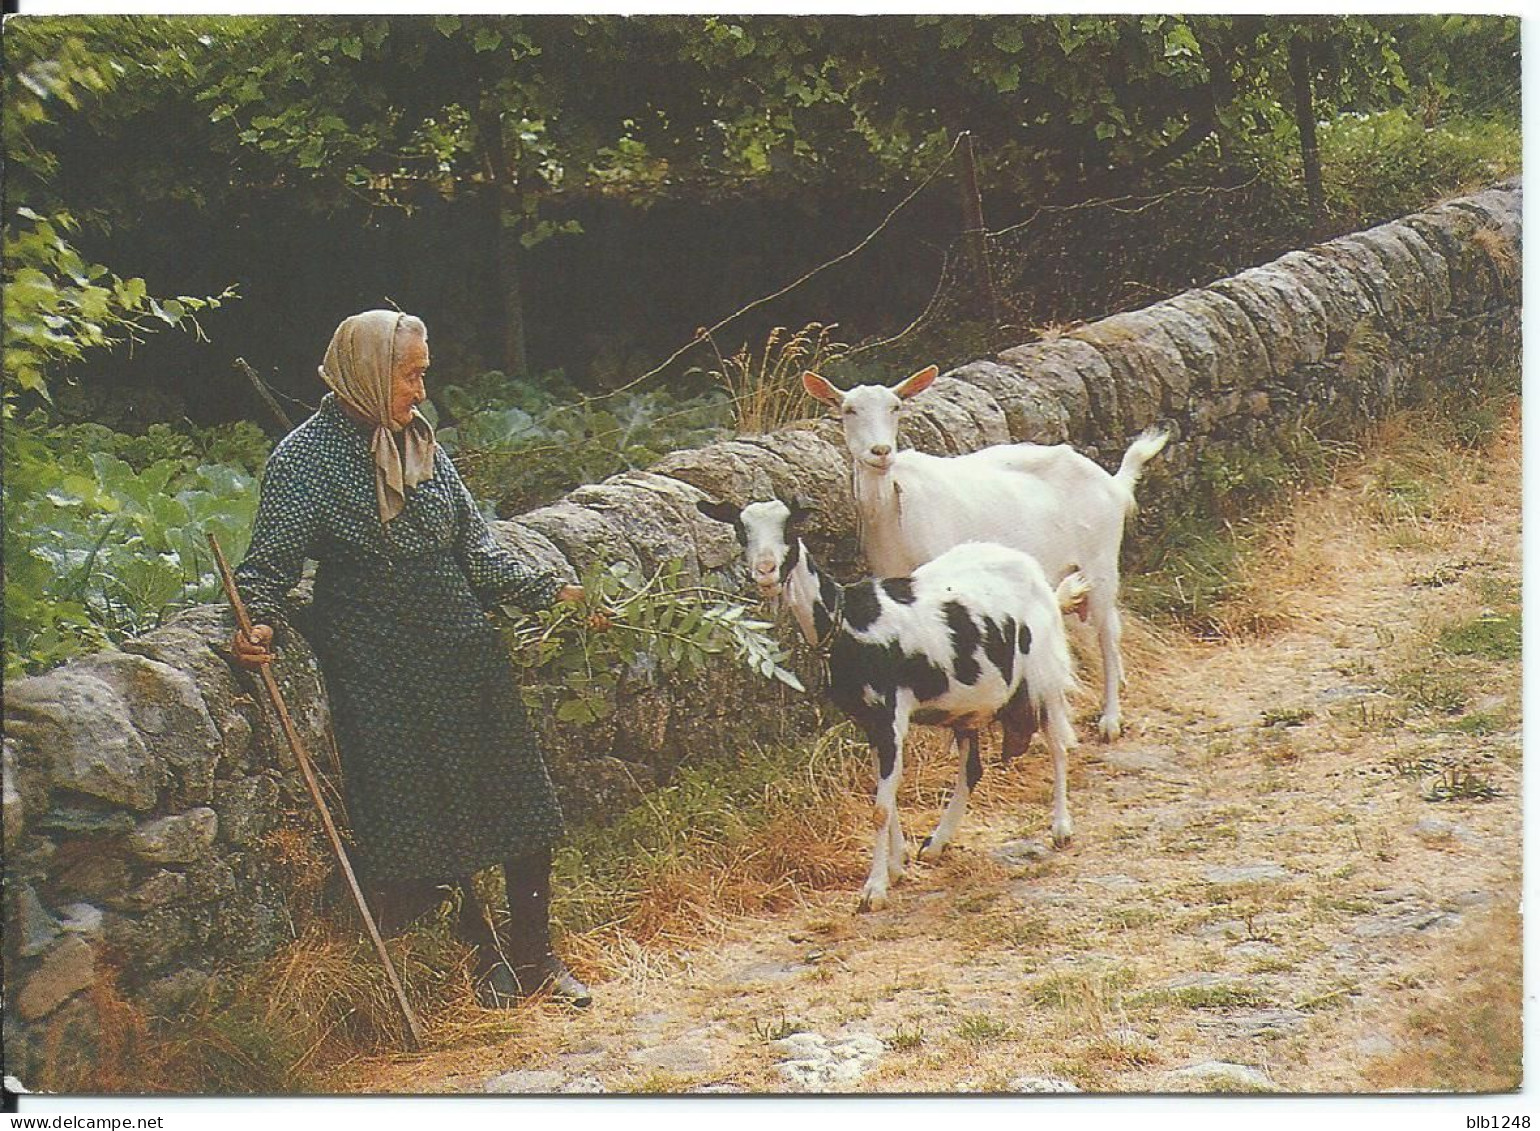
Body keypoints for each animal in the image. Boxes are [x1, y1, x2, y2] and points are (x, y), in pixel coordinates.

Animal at [699, 499, 1084, 918]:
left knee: (1058, 744)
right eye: (741, 530)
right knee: (972, 769)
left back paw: (1061, 828)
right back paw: (936, 844)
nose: (766, 571)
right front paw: (898, 867)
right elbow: (886, 796)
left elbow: (880, 807)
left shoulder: (890, 711)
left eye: (790, 529)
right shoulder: (869, 720)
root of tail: (1029, 568)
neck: (848, 619)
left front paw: (874, 889)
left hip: (1044, 673)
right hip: (969, 703)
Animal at [806, 365, 1164, 745]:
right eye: (849, 410)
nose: (881, 451)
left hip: (1102, 561)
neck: (893, 504)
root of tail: (1113, 483)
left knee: (1107, 634)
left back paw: (1110, 719)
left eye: (895, 407)